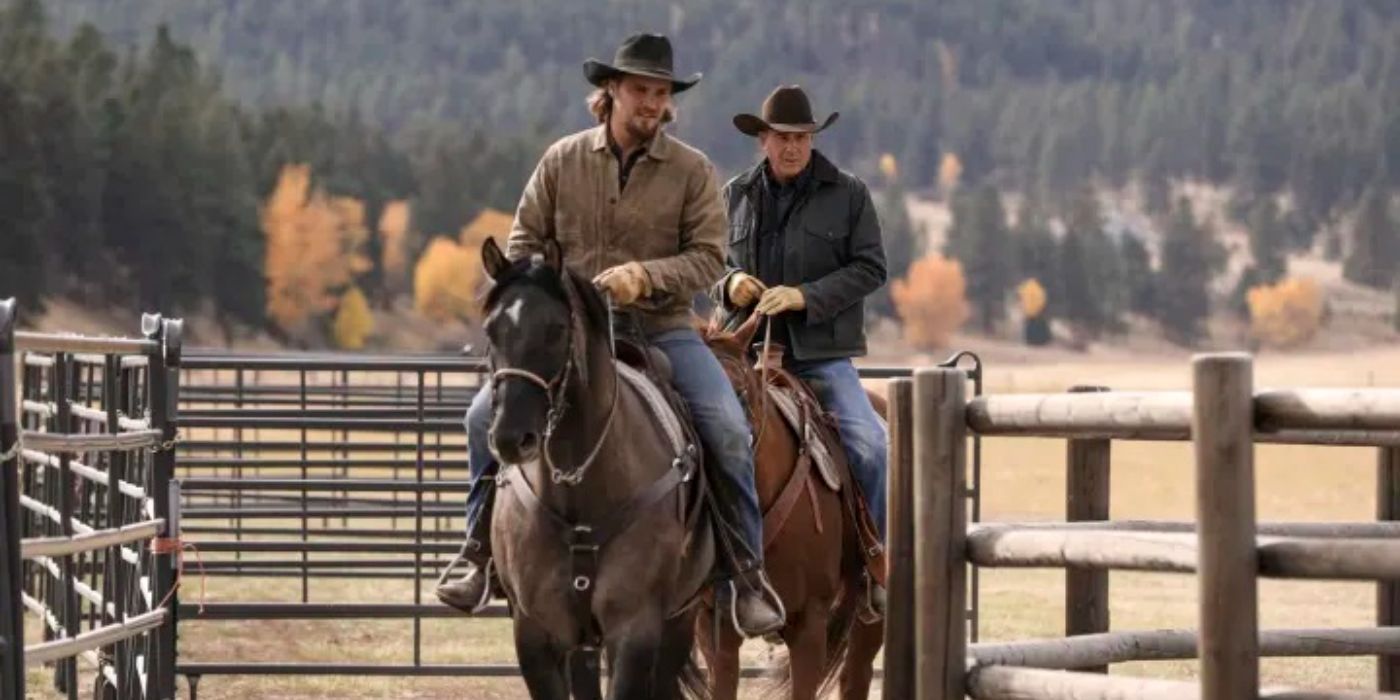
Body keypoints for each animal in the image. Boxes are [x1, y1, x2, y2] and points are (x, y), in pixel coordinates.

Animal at [478, 238, 711, 697]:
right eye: (491, 330)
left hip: (679, 621)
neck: (578, 487)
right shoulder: (534, 634)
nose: (512, 437)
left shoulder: (635, 632)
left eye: (556, 329)